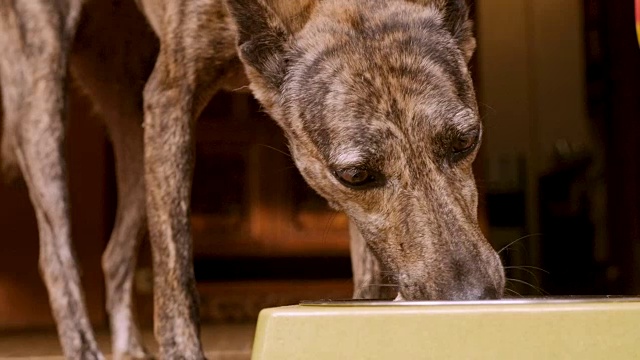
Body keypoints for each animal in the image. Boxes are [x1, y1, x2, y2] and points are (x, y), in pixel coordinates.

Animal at [0, 0, 504, 358]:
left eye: (466, 140)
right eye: (356, 175)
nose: (470, 297)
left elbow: (369, 272)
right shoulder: (171, 97)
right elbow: (176, 277)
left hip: (132, 120)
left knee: (113, 254)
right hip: (44, 87)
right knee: (57, 255)